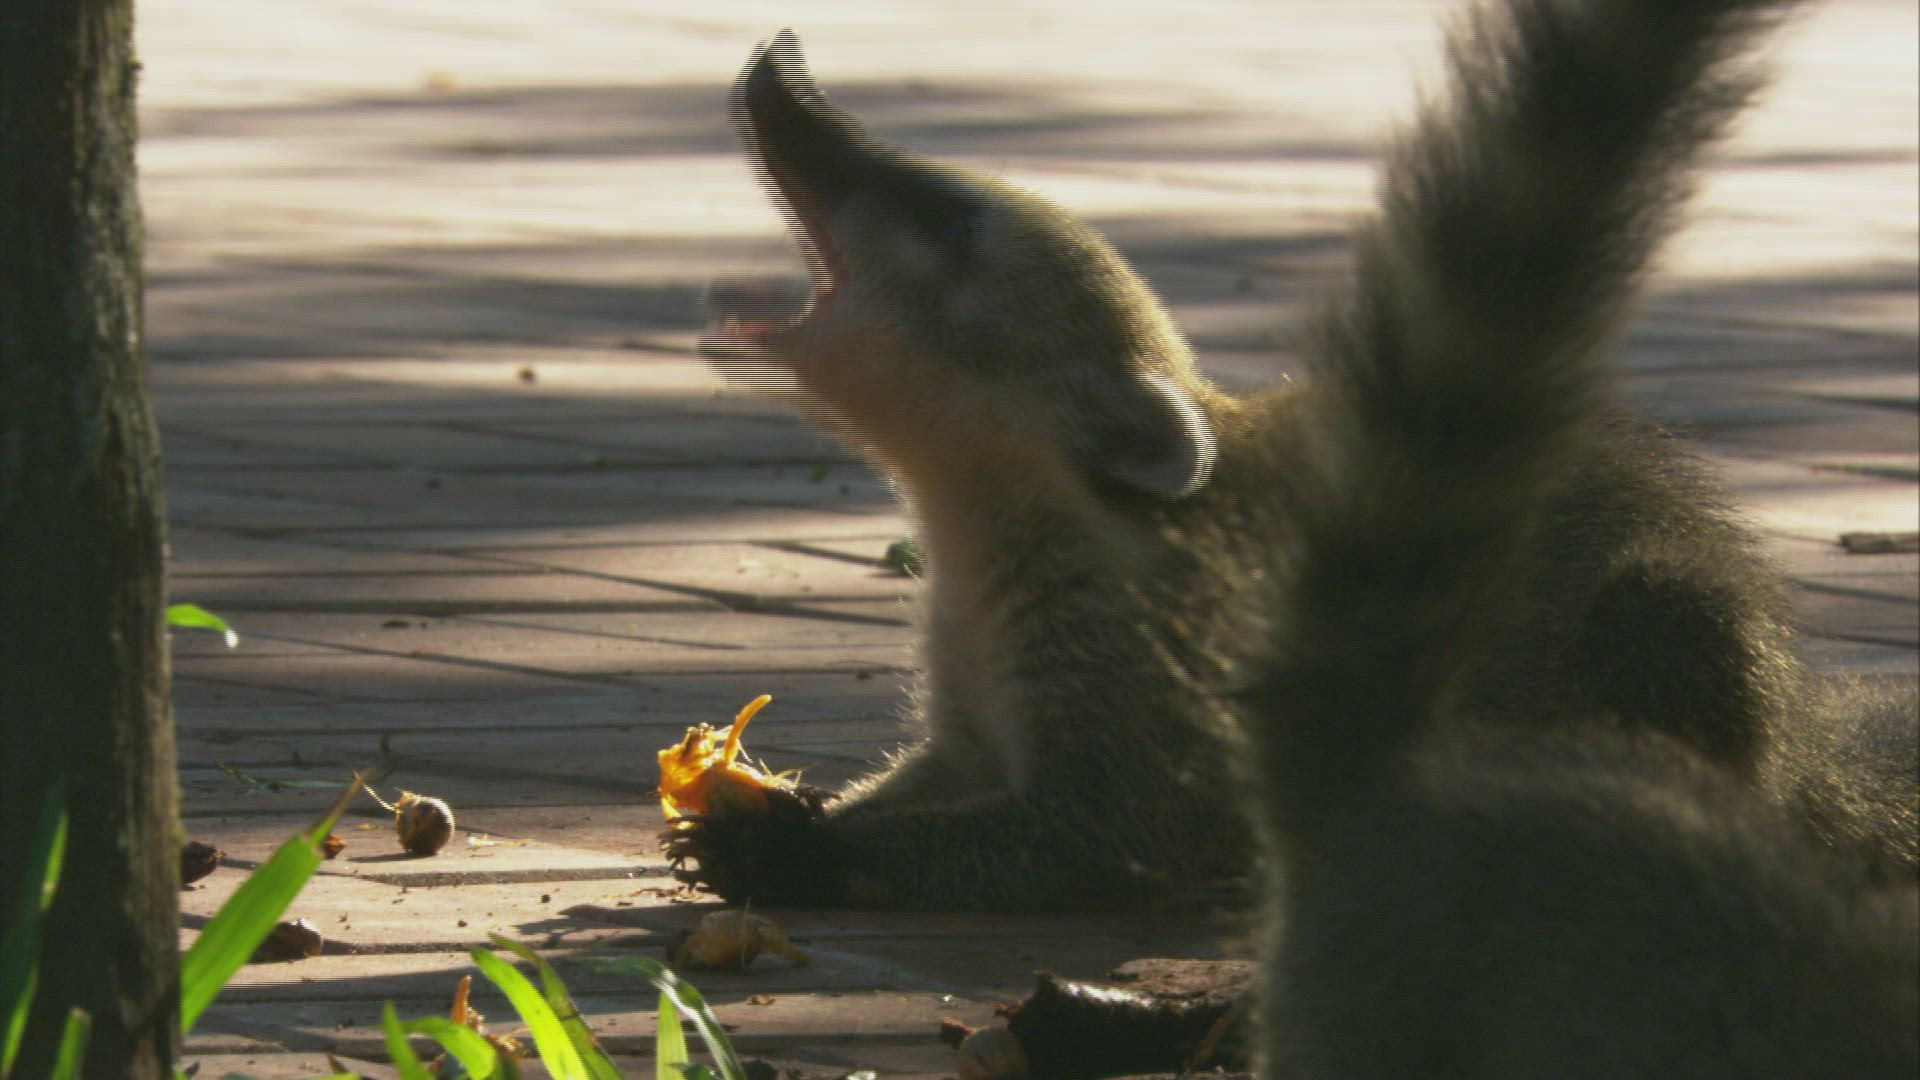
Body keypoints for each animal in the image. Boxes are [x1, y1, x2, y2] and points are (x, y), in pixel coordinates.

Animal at [676, 9, 1915, 911]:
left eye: (944, 220)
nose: (781, 69)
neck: (985, 508)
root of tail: (1804, 764)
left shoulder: (1154, 666)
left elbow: (1095, 835)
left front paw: (810, 855)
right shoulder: (970, 667)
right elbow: (939, 774)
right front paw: (812, 811)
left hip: (1660, 644)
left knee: (1653, 626)